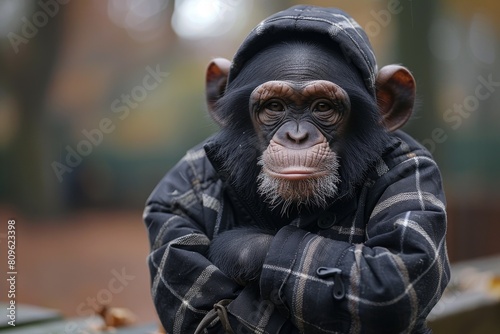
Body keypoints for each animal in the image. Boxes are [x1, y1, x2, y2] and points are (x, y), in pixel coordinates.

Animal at [144, 5, 450, 334]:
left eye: (322, 107)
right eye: (275, 107)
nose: (297, 136)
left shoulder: (413, 165)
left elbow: (395, 266)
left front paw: (240, 246)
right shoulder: (175, 190)